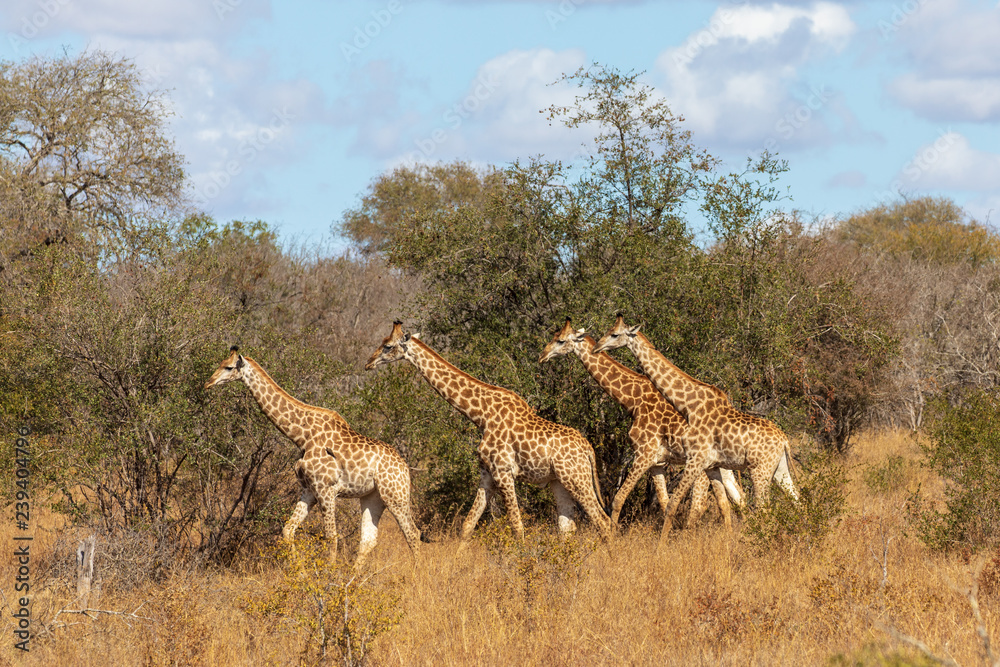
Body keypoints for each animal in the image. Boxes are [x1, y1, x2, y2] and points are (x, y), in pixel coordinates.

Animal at [204, 346, 423, 568]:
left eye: (228, 367)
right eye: (221, 363)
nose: (208, 383)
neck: (302, 436)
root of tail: (405, 467)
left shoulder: (326, 489)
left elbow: (331, 536)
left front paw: (328, 574)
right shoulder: (309, 489)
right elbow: (288, 529)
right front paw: (298, 571)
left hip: (395, 495)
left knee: (413, 533)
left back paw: (416, 574)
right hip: (373, 496)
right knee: (369, 539)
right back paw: (353, 577)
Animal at [365, 322, 611, 542]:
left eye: (387, 346)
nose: (368, 362)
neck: (480, 415)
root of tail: (589, 449)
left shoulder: (503, 471)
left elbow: (517, 526)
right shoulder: (487, 473)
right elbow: (468, 525)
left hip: (576, 477)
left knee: (603, 521)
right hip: (559, 481)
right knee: (568, 527)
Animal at [539, 319, 743, 530]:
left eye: (561, 340)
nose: (542, 356)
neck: (633, 401)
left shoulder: (644, 454)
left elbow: (619, 498)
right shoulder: (657, 463)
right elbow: (663, 502)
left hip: (701, 466)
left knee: (702, 504)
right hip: (723, 464)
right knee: (735, 498)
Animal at [592, 316, 798, 543]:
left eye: (614, 334)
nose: (597, 347)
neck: (690, 406)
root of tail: (784, 439)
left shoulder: (693, 459)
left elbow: (672, 504)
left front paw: (661, 546)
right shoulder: (710, 465)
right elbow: (718, 504)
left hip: (759, 471)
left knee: (763, 509)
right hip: (778, 469)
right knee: (796, 500)